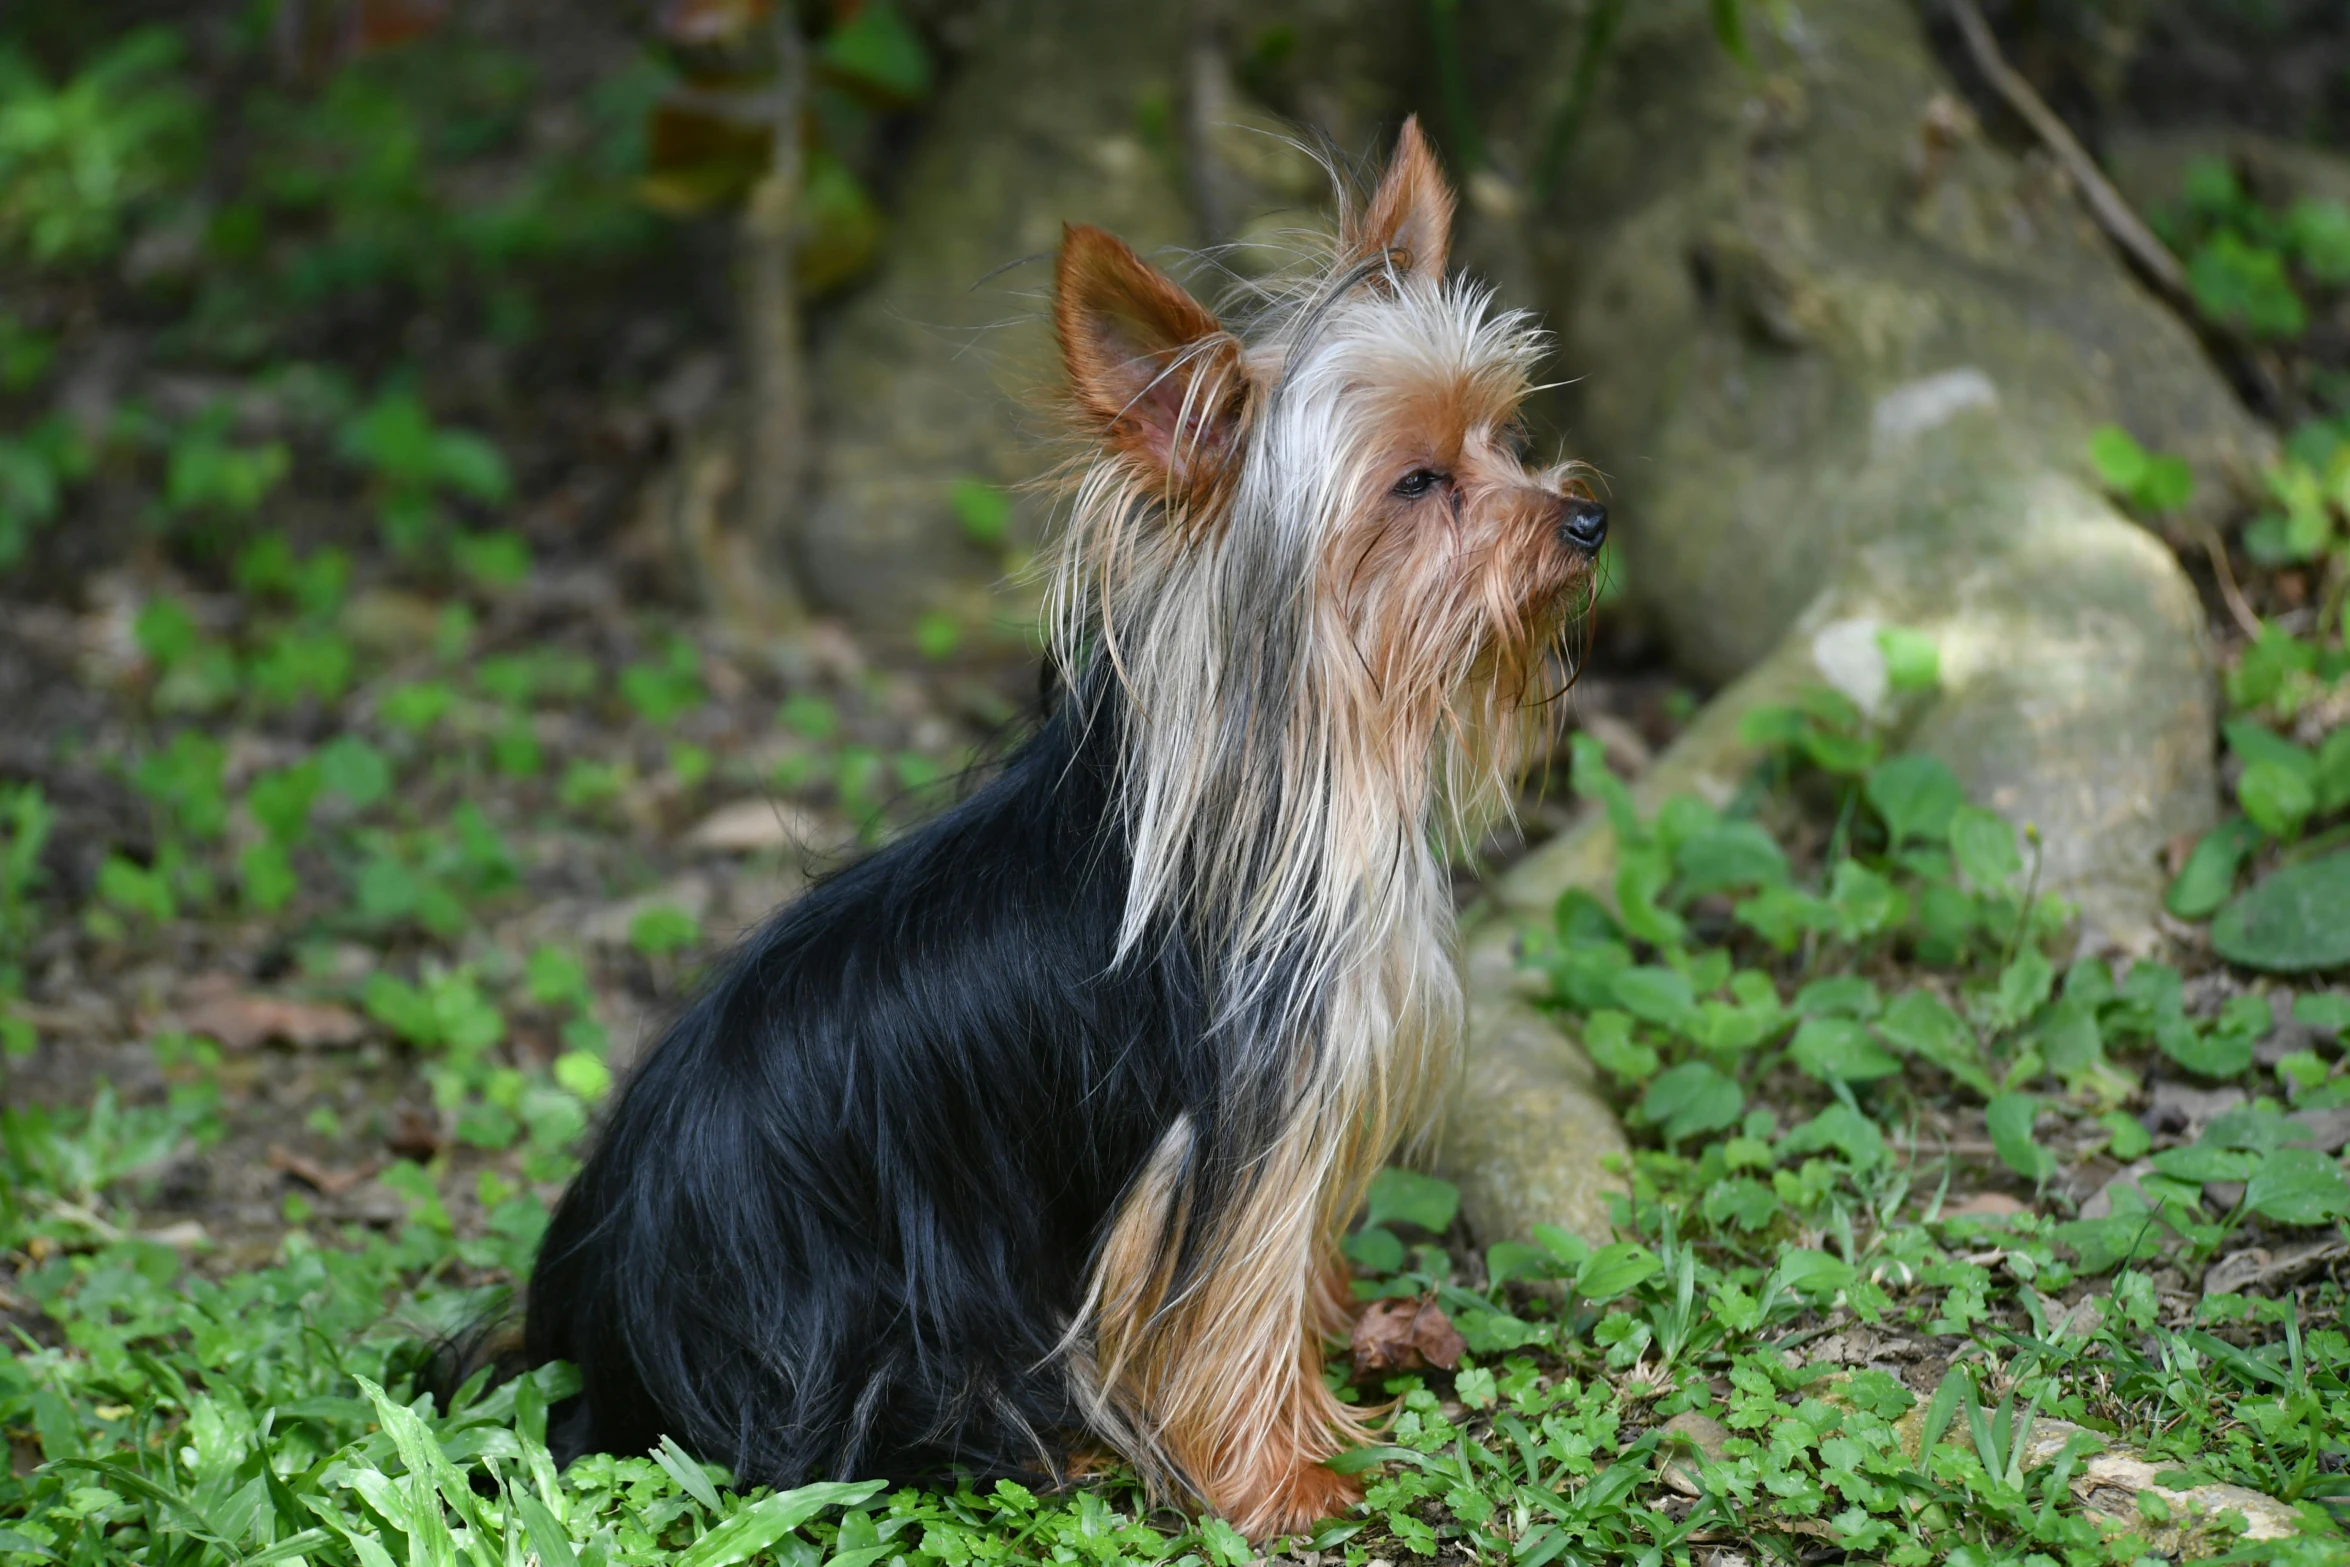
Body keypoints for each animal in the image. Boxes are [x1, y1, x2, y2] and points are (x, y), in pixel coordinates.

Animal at [524, 119, 1607, 1531]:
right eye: (1417, 483)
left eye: (1504, 433)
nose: (1586, 517)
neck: (1292, 766)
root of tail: (598, 1324)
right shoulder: (1222, 1148)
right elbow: (1230, 1319)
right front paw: (1284, 1478)